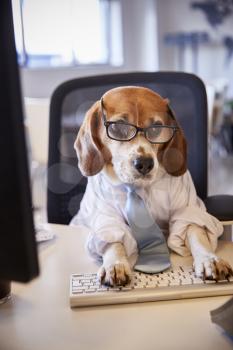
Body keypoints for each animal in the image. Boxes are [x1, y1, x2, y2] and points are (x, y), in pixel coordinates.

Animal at [71, 86, 233, 286]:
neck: (138, 186)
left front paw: (209, 260)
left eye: (156, 127)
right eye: (117, 127)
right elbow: (113, 241)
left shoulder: (187, 209)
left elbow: (196, 233)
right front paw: (115, 264)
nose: (145, 163)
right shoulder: (107, 219)